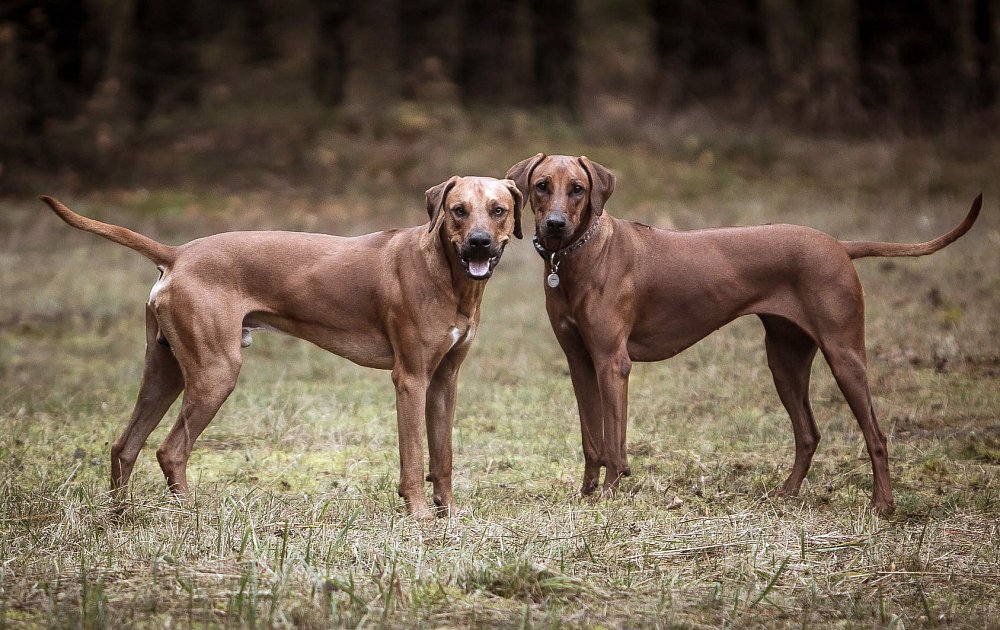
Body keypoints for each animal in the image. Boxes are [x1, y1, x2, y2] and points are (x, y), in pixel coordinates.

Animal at [39, 175, 524, 520]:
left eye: (498, 211)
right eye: (458, 211)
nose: (479, 243)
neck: (447, 274)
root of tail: (177, 254)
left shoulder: (444, 381)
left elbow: (443, 455)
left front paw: (449, 514)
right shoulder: (411, 379)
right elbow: (414, 455)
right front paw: (420, 515)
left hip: (165, 370)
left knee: (125, 446)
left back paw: (119, 515)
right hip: (215, 372)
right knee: (170, 449)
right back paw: (189, 513)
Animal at [504, 156, 980, 516]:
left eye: (578, 188)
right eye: (542, 186)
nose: (555, 225)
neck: (577, 255)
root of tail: (839, 245)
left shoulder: (612, 364)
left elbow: (614, 442)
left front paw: (608, 494)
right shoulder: (581, 363)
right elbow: (592, 439)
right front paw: (586, 494)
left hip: (845, 355)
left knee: (876, 436)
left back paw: (883, 505)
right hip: (784, 359)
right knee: (808, 433)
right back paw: (786, 494)